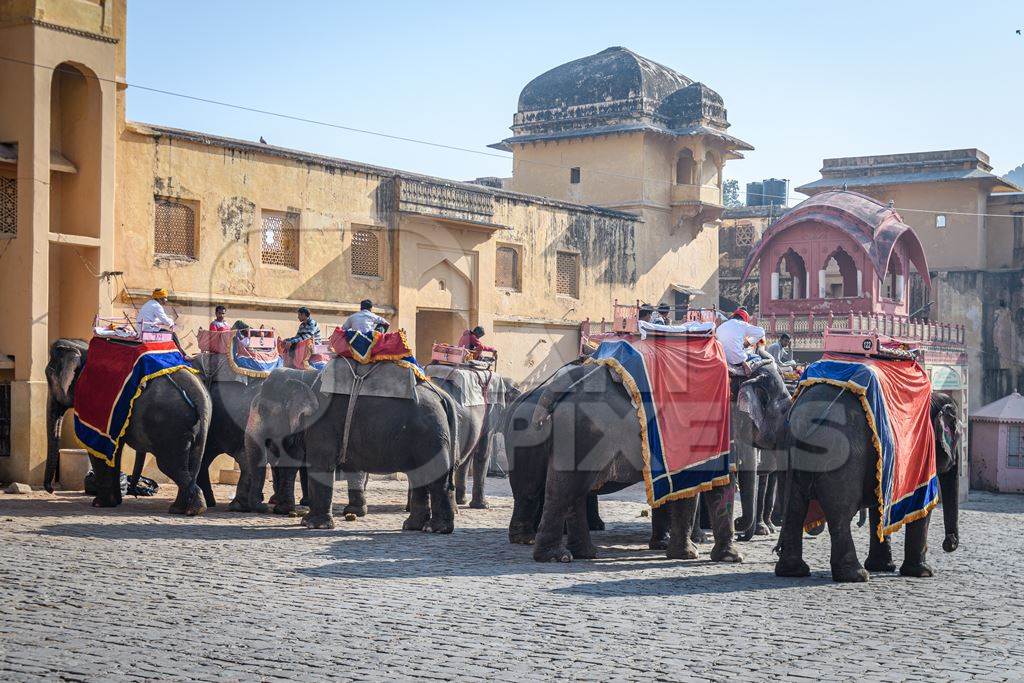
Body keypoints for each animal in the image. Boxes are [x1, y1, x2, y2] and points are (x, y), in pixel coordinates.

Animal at [44, 339, 211, 516]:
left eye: (49, 374)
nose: (51, 490)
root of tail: (199, 394)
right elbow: (114, 449)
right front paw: (114, 502)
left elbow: (97, 450)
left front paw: (100, 504)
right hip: (190, 426)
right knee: (188, 463)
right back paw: (182, 509)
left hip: (170, 425)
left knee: (169, 465)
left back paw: (189, 509)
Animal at [241, 368, 458, 532]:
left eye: (262, 410)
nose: (264, 506)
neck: (304, 377)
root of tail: (443, 396)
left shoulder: (322, 424)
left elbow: (320, 466)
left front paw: (313, 524)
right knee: (420, 477)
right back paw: (412, 526)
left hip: (430, 435)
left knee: (435, 478)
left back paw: (435, 529)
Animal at [507, 360, 786, 565]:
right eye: (784, 408)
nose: (741, 528)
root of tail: (555, 388)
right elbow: (714, 482)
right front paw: (722, 556)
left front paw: (692, 554)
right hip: (580, 433)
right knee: (559, 490)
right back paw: (553, 555)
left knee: (572, 490)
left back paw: (584, 553)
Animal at [778, 389, 962, 581]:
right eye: (958, 434)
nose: (949, 543)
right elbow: (922, 506)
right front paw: (924, 572)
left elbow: (880, 506)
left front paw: (882, 567)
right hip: (841, 458)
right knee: (840, 513)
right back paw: (856, 575)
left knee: (793, 510)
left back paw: (793, 571)